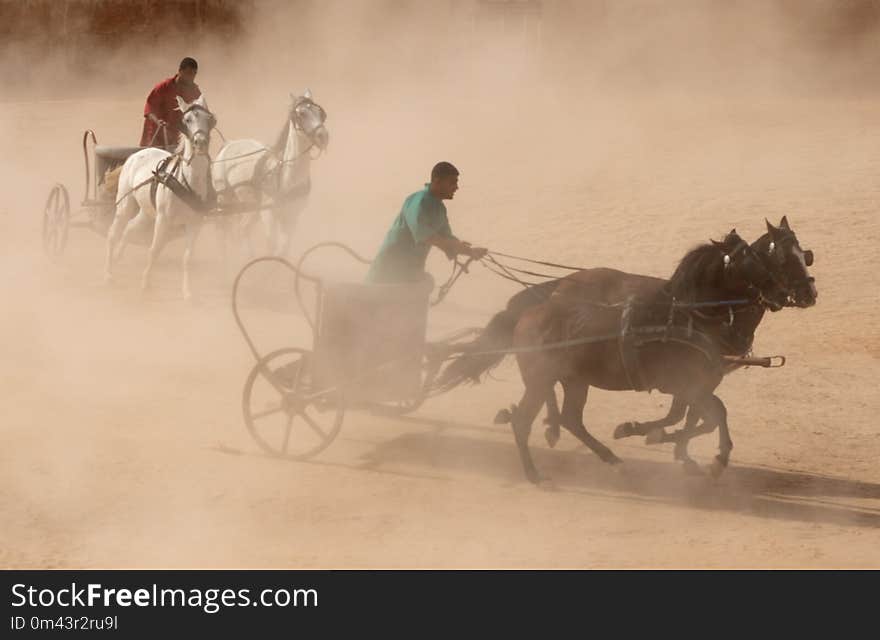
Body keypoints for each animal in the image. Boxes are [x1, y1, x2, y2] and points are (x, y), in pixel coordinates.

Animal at [105, 95, 217, 300]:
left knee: (130, 228)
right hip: (126, 205)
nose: (200, 142)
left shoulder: (195, 223)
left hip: (147, 213)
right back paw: (108, 274)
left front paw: (187, 293)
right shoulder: (163, 219)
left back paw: (117, 257)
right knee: (114, 233)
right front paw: (145, 284)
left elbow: (187, 258)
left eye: (210, 119)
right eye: (187, 120)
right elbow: (154, 250)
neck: (187, 181)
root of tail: (139, 152)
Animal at [211, 89, 328, 258]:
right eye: (301, 114)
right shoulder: (268, 215)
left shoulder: (292, 216)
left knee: (242, 229)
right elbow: (271, 246)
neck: (286, 176)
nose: (323, 136)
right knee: (223, 231)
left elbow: (283, 249)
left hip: (249, 206)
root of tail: (228, 144)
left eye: (320, 113)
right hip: (224, 199)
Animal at [440, 230, 792, 480]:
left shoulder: (692, 386)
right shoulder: (685, 384)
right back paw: (535, 473)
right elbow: (714, 413)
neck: (687, 315)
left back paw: (609, 457)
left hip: (573, 381)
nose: (783, 292)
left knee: (571, 418)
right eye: (752, 257)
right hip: (541, 380)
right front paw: (716, 459)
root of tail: (529, 313)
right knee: (524, 421)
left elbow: (699, 416)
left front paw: (653, 436)